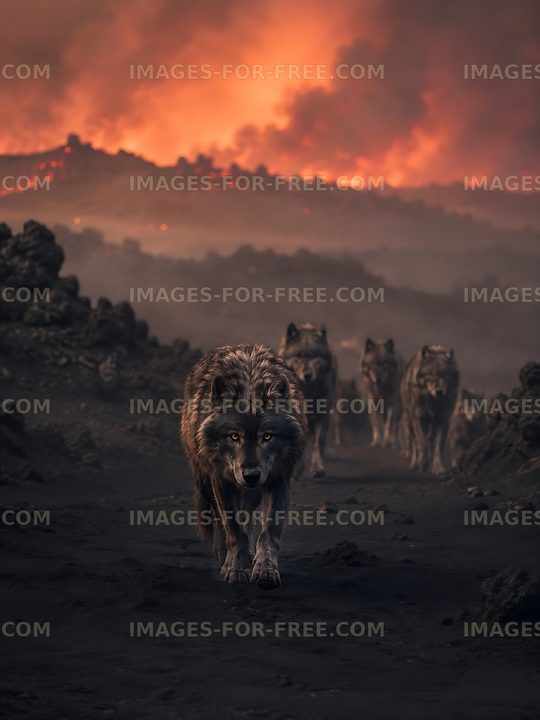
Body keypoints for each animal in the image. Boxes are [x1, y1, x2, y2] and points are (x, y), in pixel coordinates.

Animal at [181, 344, 306, 589]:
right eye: (234, 437)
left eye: (267, 437)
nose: (251, 476)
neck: (250, 377)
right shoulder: (221, 481)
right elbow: (233, 529)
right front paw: (236, 568)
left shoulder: (278, 482)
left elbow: (268, 533)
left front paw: (265, 570)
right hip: (204, 481)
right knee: (220, 522)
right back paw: (225, 558)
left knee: (247, 518)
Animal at [279, 323, 337, 477]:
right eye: (298, 356)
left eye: (314, 356)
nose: (307, 375)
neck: (308, 392)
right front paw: (298, 469)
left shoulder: (323, 415)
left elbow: (317, 442)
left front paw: (317, 467)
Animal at [400, 345, 459, 475]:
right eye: (432, 374)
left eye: (445, 375)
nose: (439, 391)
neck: (433, 403)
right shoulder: (418, 419)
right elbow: (421, 443)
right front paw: (423, 464)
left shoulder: (444, 421)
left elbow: (438, 446)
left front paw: (438, 468)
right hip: (410, 422)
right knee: (415, 444)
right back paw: (415, 463)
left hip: (432, 426)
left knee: (430, 441)